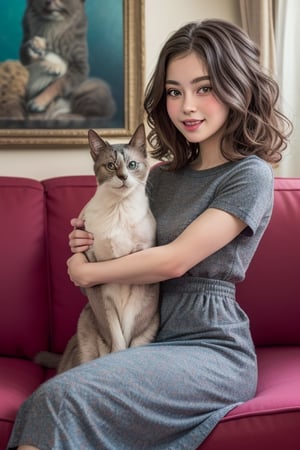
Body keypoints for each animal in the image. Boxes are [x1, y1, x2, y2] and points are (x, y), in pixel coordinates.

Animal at [35, 123, 159, 372]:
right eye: (111, 165)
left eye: (132, 165)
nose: (123, 177)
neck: (119, 208)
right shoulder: (99, 283)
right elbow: (116, 335)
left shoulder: (140, 279)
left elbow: (127, 333)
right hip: (86, 326)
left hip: (150, 325)